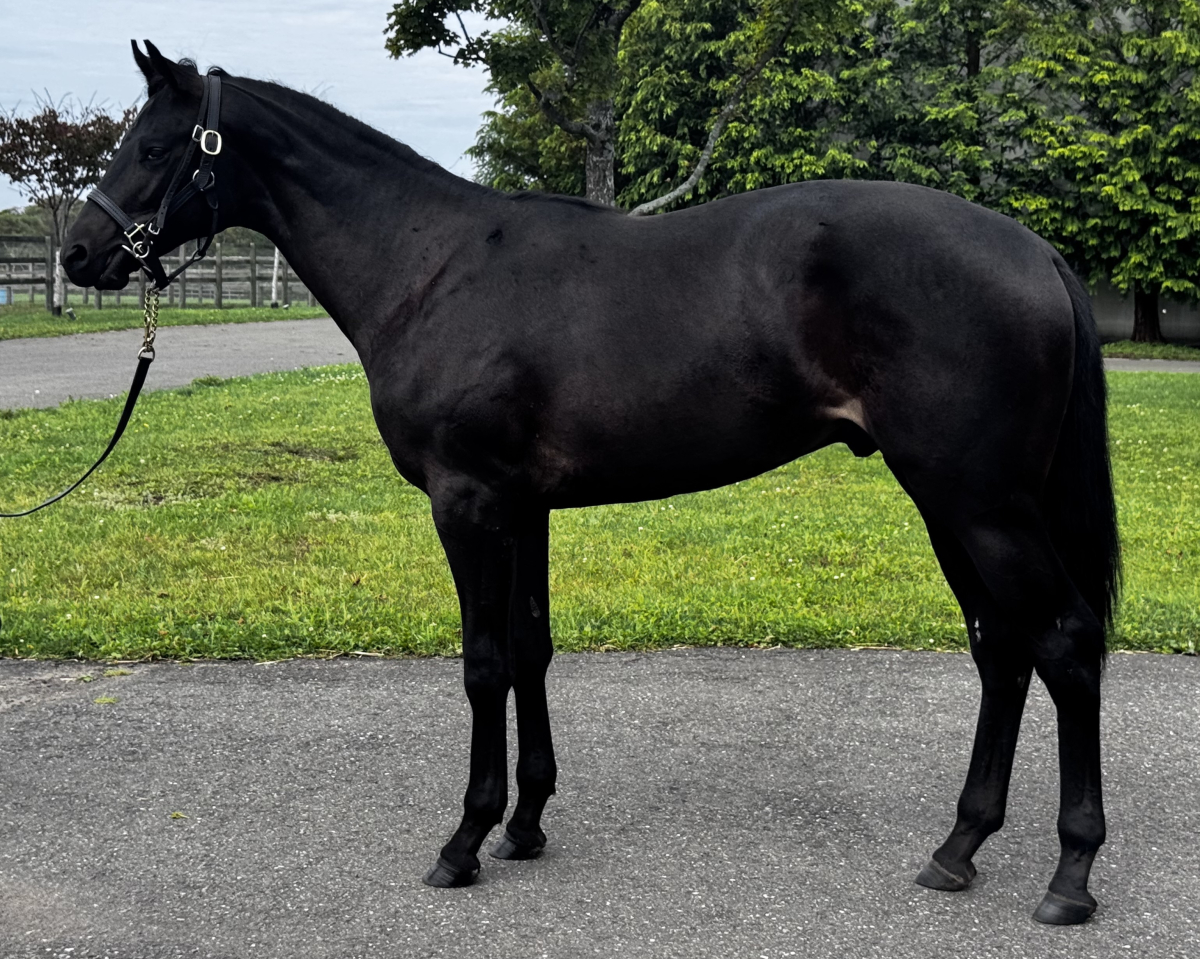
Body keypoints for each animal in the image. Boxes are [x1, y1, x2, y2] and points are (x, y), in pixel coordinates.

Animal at [63, 42, 1120, 926]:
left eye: (153, 146)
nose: (78, 252)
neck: (432, 266)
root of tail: (1034, 250)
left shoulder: (469, 503)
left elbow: (484, 663)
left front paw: (465, 839)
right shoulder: (522, 507)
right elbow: (532, 649)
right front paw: (525, 824)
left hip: (981, 503)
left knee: (1063, 642)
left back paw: (1070, 873)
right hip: (952, 503)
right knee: (1002, 650)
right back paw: (959, 845)